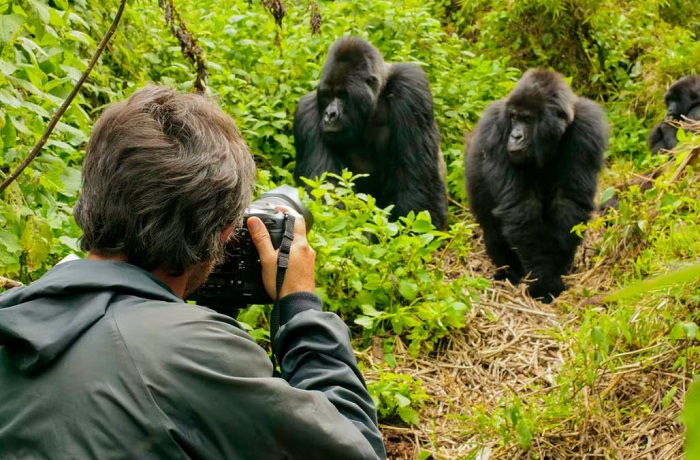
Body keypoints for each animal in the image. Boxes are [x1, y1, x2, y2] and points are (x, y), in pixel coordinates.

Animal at [292, 36, 446, 230]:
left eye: (342, 95)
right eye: (327, 95)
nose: (329, 114)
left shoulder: (411, 86)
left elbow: (416, 179)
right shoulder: (307, 112)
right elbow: (326, 190)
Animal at [464, 69, 608, 302]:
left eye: (527, 119)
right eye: (514, 117)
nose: (515, 136)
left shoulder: (588, 128)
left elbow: (568, 201)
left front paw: (557, 270)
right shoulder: (496, 128)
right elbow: (520, 206)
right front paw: (544, 281)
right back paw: (508, 272)